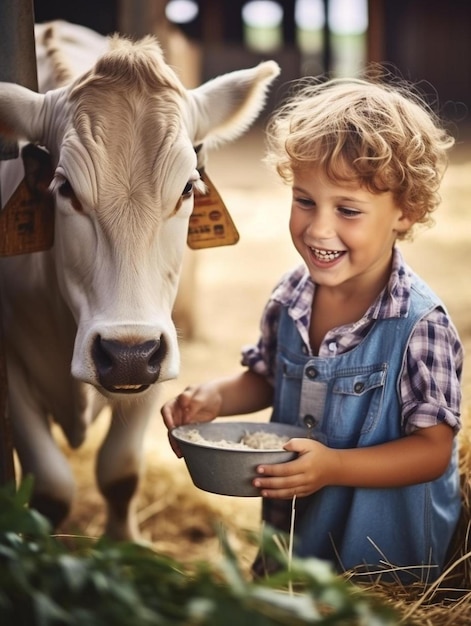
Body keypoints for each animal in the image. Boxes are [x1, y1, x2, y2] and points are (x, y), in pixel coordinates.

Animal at [0, 22, 280, 540]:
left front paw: (127, 544)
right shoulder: (11, 363)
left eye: (188, 187)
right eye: (64, 188)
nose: (127, 354)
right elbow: (51, 488)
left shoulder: (160, 349)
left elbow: (120, 472)